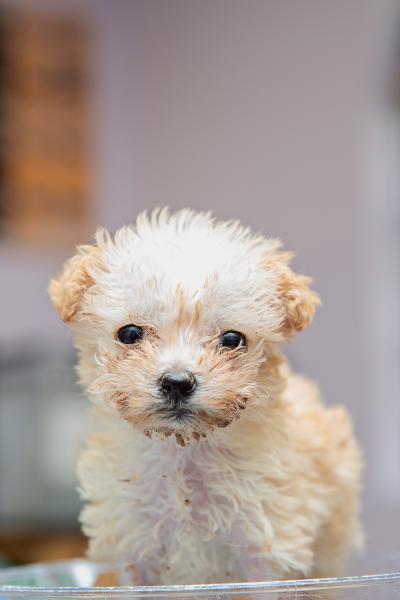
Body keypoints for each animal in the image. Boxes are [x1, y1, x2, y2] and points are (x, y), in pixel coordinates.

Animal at [49, 209, 362, 584]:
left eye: (232, 339)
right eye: (129, 333)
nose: (177, 382)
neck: (184, 452)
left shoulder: (267, 549)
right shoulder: (133, 554)